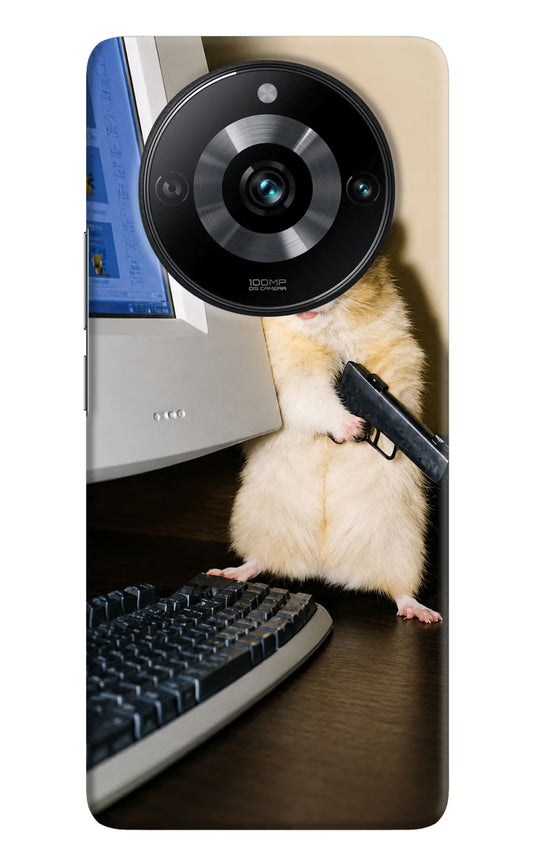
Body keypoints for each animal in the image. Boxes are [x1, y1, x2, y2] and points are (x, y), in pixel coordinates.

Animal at [208, 255, 442, 623]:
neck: (324, 330)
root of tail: (324, 567)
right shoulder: (290, 376)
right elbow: (315, 398)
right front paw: (354, 428)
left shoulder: (397, 348)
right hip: (258, 522)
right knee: (259, 560)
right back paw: (227, 573)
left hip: (402, 546)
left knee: (399, 589)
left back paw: (423, 613)